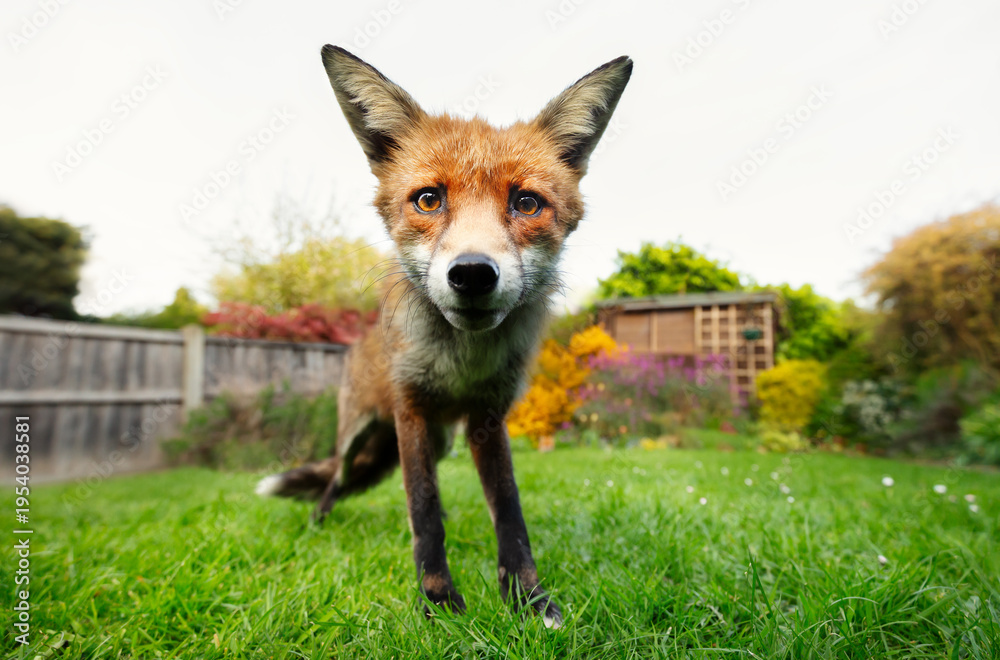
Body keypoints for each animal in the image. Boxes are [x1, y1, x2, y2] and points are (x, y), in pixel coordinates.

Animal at [256, 44, 631, 627]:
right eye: (429, 200)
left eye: (526, 203)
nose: (473, 273)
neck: (462, 362)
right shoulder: (410, 409)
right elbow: (423, 509)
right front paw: (437, 600)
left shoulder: (487, 418)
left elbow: (509, 513)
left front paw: (528, 599)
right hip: (365, 432)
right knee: (338, 478)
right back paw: (319, 520)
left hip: (441, 438)